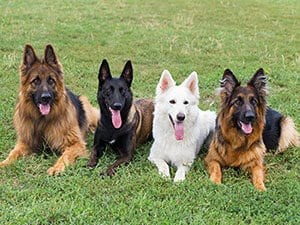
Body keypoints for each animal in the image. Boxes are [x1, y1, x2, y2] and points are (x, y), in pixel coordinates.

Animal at [0, 44, 99, 176]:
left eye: (51, 80)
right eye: (35, 81)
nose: (45, 98)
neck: (42, 120)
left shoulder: (75, 144)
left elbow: (65, 156)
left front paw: (57, 168)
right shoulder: (25, 142)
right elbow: (12, 154)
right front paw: (3, 163)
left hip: (85, 102)